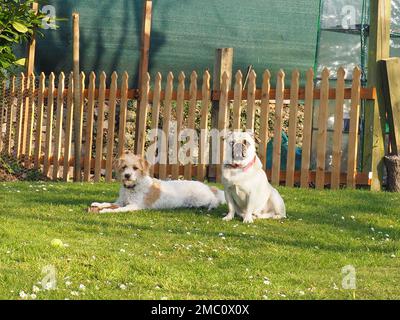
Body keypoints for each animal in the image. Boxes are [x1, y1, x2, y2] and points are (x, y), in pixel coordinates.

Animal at [89, 152, 225, 214]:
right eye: (124, 167)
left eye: (135, 168)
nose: (127, 175)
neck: (133, 187)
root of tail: (207, 187)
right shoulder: (120, 202)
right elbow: (108, 203)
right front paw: (98, 204)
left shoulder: (134, 206)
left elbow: (118, 209)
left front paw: (106, 211)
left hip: (200, 199)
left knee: (215, 200)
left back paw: (211, 206)